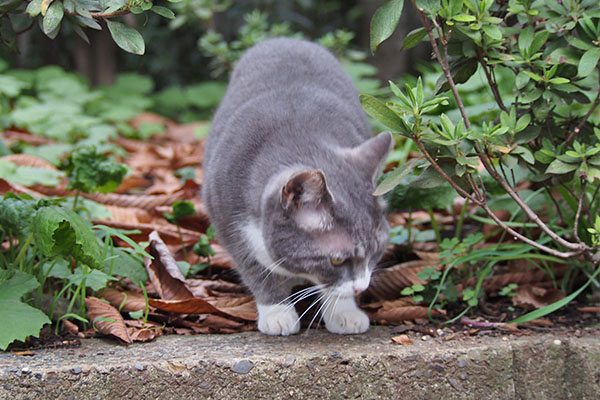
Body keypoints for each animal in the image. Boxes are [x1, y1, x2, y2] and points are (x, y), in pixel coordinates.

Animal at [202, 39, 392, 336]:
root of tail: (285, 39)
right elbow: (256, 270)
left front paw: (344, 312)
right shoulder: (227, 220)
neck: (299, 141)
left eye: (375, 251)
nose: (361, 287)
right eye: (337, 260)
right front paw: (277, 313)